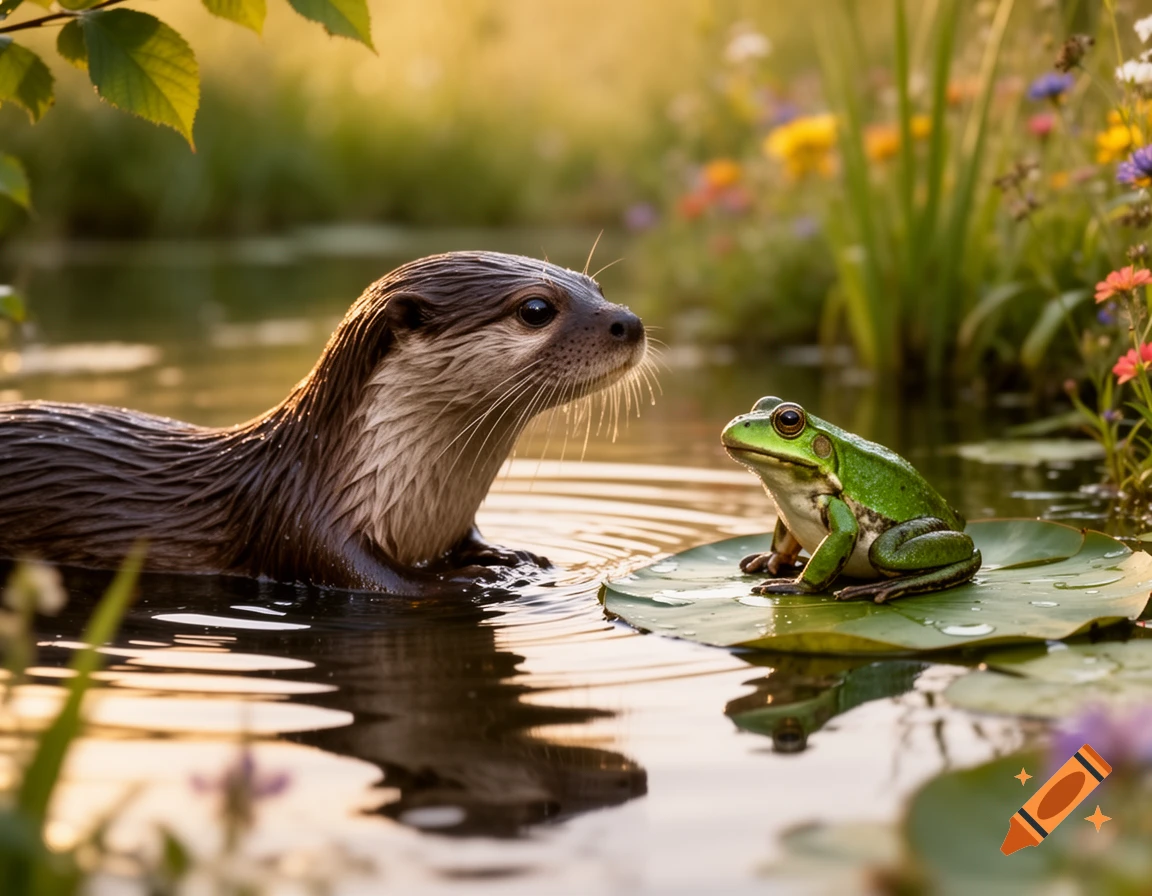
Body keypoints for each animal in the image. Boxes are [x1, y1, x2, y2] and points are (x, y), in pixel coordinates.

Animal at [0, 252, 648, 592]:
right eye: (536, 308)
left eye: (596, 285)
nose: (631, 322)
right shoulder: (306, 532)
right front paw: (464, 583)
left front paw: (513, 559)